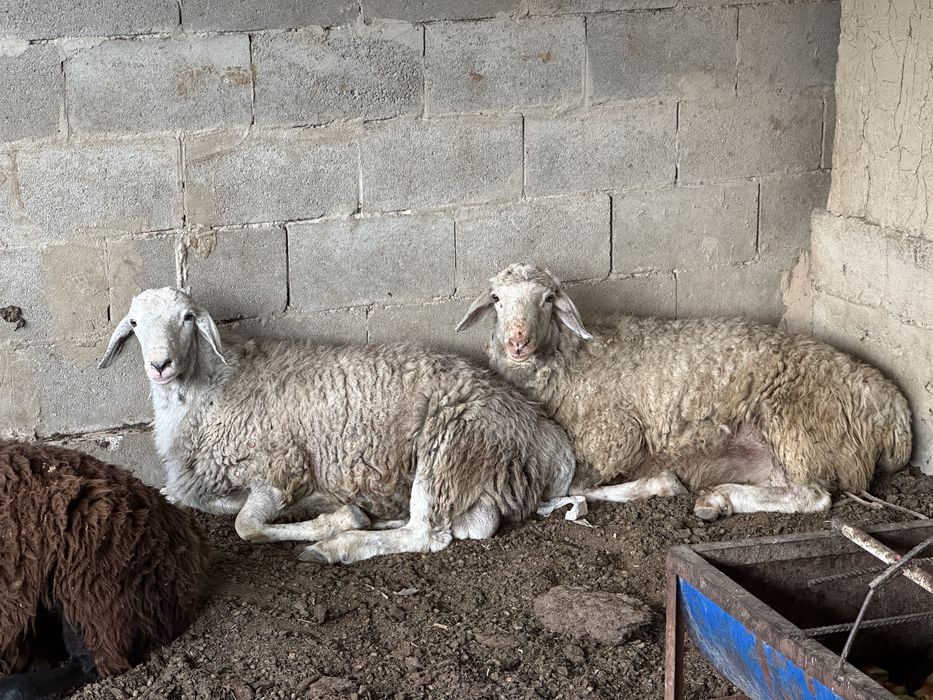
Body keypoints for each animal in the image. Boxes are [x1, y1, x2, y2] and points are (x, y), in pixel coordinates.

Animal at [97, 287, 576, 565]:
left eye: (187, 319)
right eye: (134, 323)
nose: (160, 365)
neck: (217, 384)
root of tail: (548, 438)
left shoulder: (281, 469)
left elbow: (245, 527)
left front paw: (335, 522)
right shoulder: (211, 483)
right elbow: (198, 501)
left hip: (448, 448)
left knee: (425, 535)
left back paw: (338, 546)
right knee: (466, 525)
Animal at [457, 263, 913, 521]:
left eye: (549, 299)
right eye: (496, 299)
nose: (518, 343)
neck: (570, 357)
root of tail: (894, 410)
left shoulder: (613, 437)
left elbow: (575, 489)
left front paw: (661, 485)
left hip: (800, 427)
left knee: (813, 496)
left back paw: (721, 497)